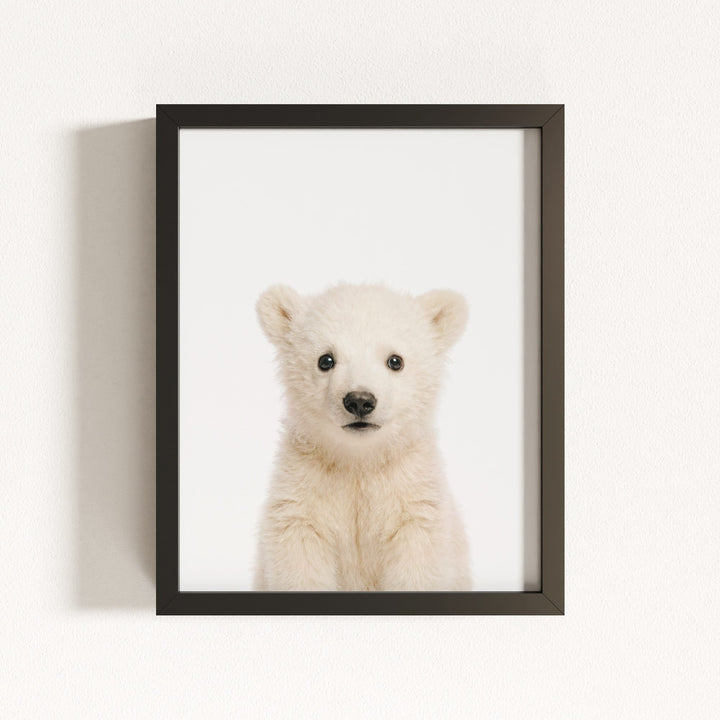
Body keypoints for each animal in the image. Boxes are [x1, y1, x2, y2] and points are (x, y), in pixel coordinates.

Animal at [253, 283, 471, 591]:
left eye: (395, 360)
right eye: (325, 359)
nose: (359, 400)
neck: (359, 461)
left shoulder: (413, 503)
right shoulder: (302, 498)